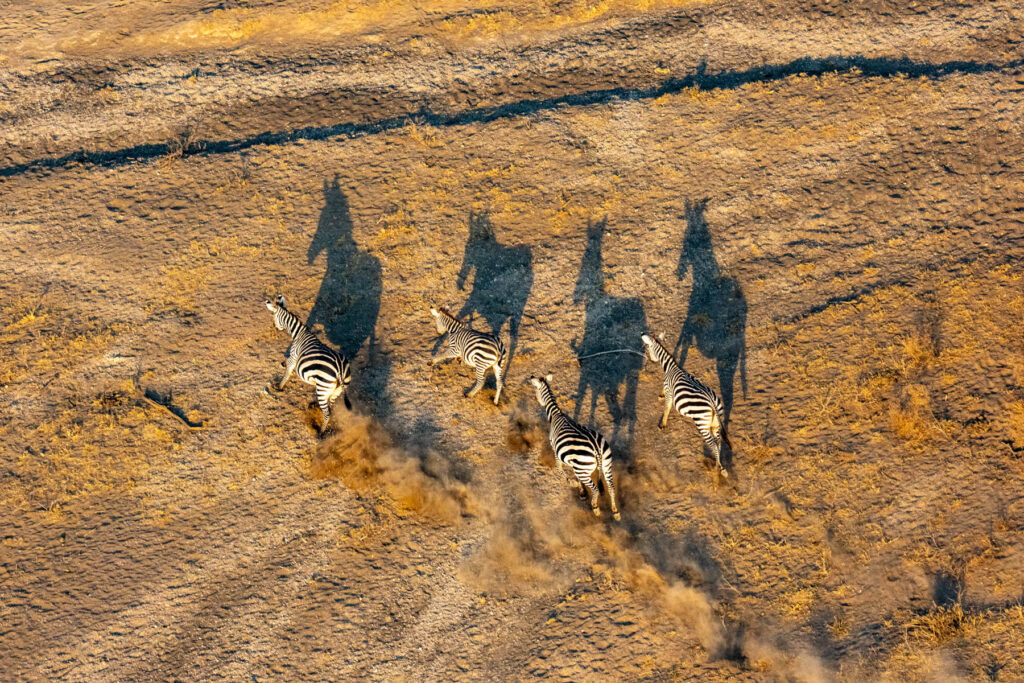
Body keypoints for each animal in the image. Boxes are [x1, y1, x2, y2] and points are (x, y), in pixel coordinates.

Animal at [265, 295, 352, 433]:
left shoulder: (293, 357)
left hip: (322, 387)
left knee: (327, 412)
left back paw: (321, 432)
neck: (299, 333)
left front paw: (279, 387)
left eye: (273, 317)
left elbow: (287, 372)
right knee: (330, 406)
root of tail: (340, 370)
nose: (275, 327)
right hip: (336, 390)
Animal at [528, 374, 620, 520]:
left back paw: (595, 507)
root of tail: (596, 449)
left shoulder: (555, 449)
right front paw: (581, 491)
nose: (538, 402)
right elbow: (574, 474)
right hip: (605, 465)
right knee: (611, 487)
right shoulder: (573, 461)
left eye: (536, 391)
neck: (556, 414)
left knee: (595, 489)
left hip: (587, 469)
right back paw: (615, 511)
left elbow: (560, 469)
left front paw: (573, 484)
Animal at [641, 333, 730, 477]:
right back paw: (718, 464)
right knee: (719, 442)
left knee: (713, 444)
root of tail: (712, 403)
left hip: (702, 424)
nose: (649, 361)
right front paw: (660, 396)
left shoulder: (669, 391)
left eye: (647, 349)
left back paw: (718, 468)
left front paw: (662, 425)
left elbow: (667, 408)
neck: (670, 368)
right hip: (716, 423)